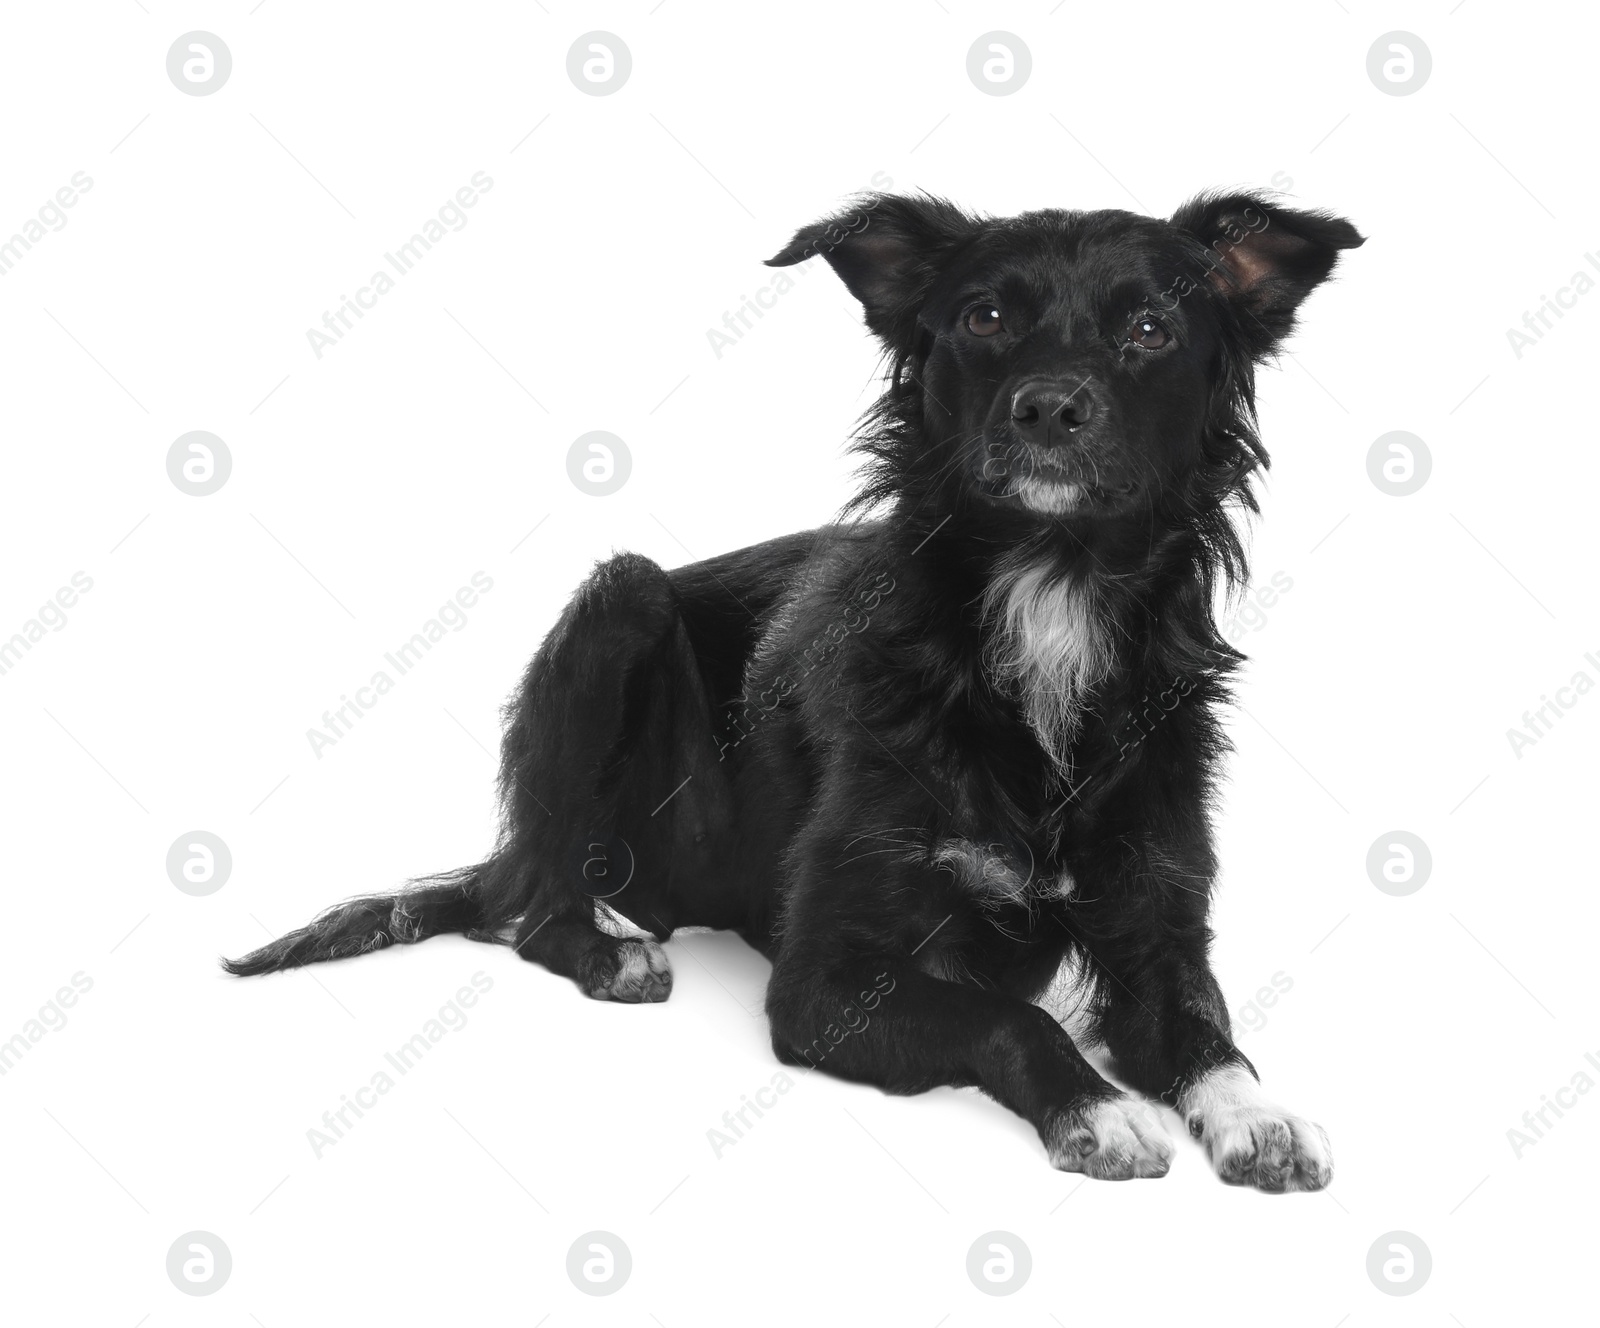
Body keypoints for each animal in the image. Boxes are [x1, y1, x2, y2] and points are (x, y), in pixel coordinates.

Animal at [232, 189, 1363, 1196]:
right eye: (984, 317)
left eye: (1148, 329)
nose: (1047, 405)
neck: (1049, 603)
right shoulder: (824, 983)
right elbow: (1013, 1016)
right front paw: (1098, 1108)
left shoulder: (1155, 931)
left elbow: (1210, 1034)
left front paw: (1258, 1115)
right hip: (620, 599)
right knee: (534, 901)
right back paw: (607, 953)